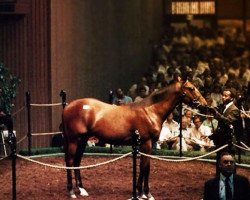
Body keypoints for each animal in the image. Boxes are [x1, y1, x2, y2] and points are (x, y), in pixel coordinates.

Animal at [61, 78, 206, 198]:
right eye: (191, 88)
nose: (205, 104)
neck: (150, 111)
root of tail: (67, 106)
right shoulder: (146, 143)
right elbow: (145, 167)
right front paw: (146, 193)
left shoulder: (144, 145)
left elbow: (143, 167)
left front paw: (139, 191)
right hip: (74, 140)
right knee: (70, 161)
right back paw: (71, 191)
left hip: (82, 140)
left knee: (77, 162)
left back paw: (81, 190)